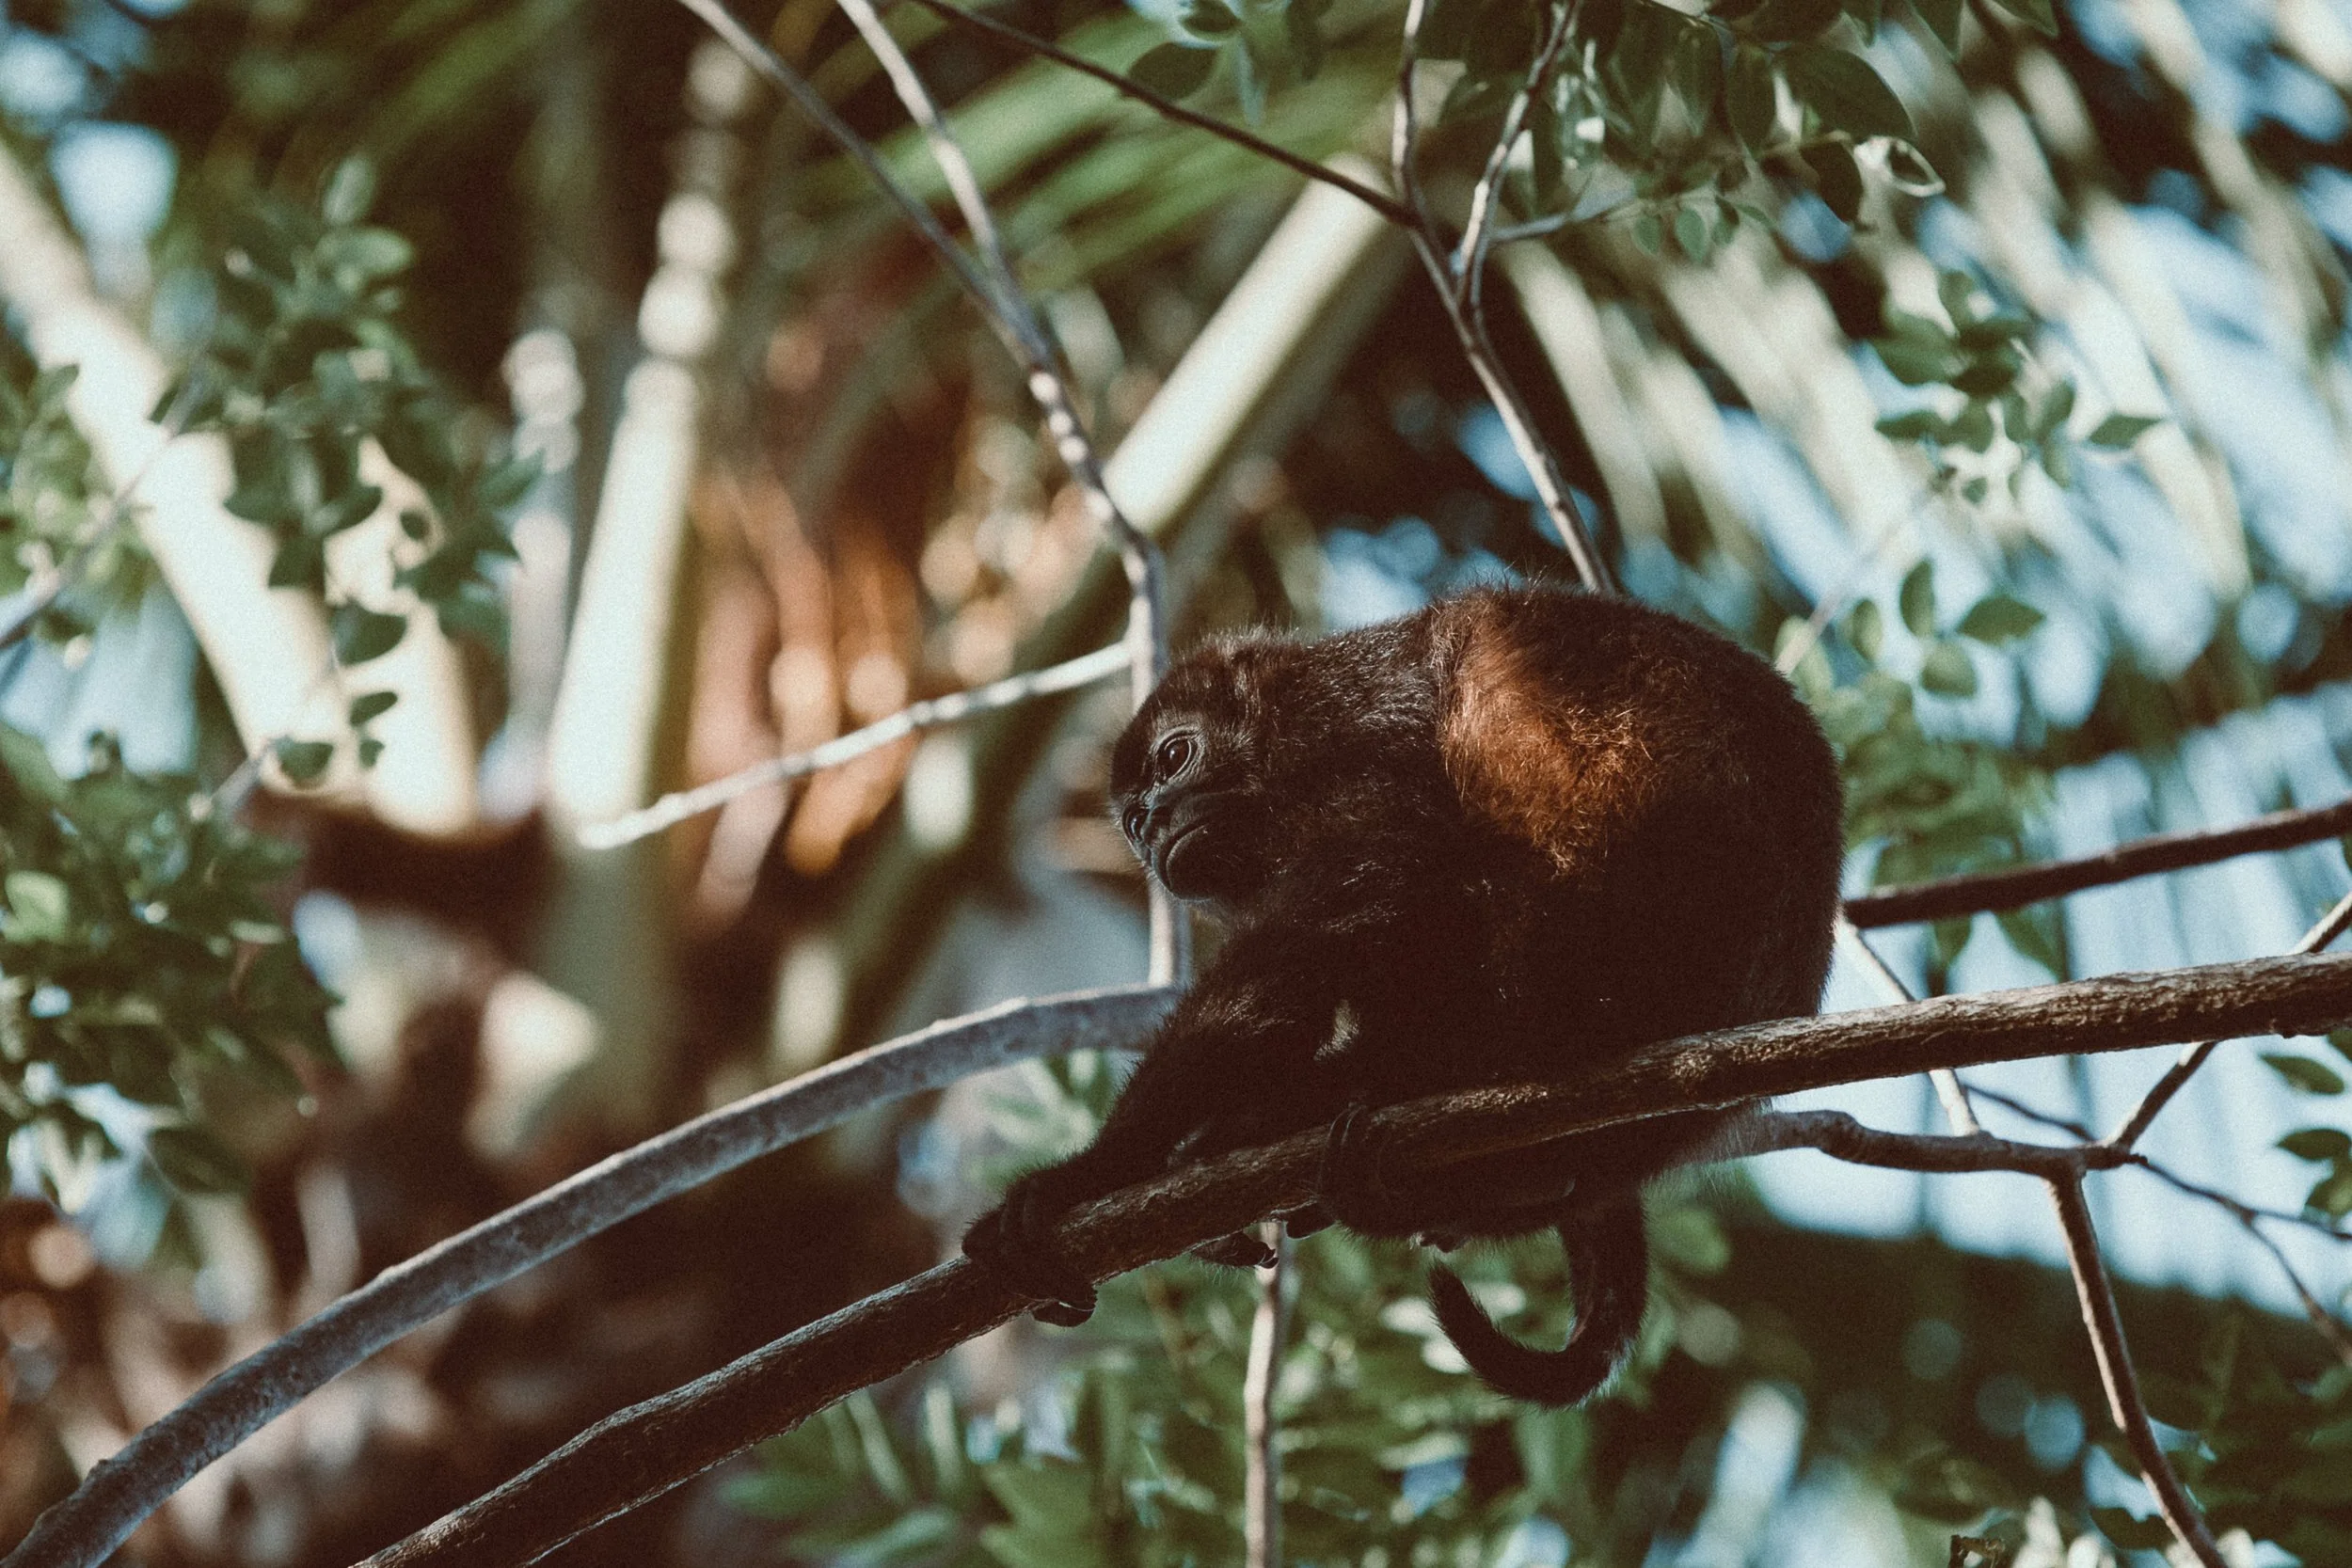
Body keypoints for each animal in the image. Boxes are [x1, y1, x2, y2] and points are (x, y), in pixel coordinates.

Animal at [963, 583, 1844, 1406]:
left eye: (1175, 756)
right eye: (1132, 820)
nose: (1150, 819)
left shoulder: (1352, 732)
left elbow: (1363, 894)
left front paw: (1090, 1176)